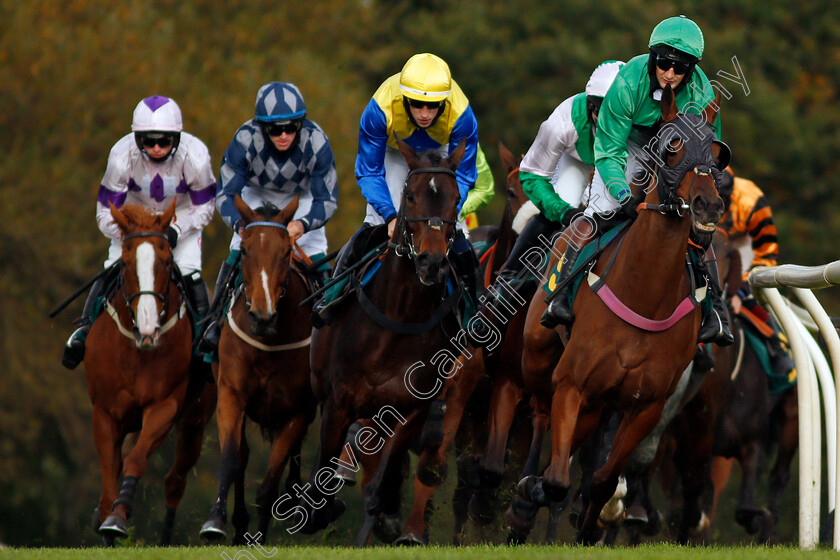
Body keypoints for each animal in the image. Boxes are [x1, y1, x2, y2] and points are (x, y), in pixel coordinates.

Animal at [85, 202, 215, 548]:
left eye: (167, 261)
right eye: (126, 263)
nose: (148, 328)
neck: (137, 350)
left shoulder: (164, 407)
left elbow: (136, 460)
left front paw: (117, 518)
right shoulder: (104, 412)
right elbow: (109, 471)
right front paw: (106, 518)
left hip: (195, 421)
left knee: (174, 481)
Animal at [198, 195, 318, 544]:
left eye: (286, 251)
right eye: (245, 251)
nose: (262, 317)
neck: (269, 341)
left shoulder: (297, 411)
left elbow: (269, 485)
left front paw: (260, 537)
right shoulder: (231, 394)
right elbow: (231, 460)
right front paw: (216, 521)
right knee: (243, 454)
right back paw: (238, 524)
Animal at [302, 139, 470, 544]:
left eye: (457, 198)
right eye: (409, 196)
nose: (431, 262)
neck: (398, 319)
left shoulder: (410, 409)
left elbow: (382, 485)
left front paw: (385, 519)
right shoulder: (339, 401)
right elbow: (325, 467)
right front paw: (319, 511)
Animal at [520, 86, 728, 544]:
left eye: (717, 152)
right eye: (672, 146)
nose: (708, 205)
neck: (644, 293)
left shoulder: (646, 405)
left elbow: (600, 481)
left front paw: (589, 529)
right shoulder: (573, 383)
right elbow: (557, 480)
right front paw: (537, 492)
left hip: (600, 402)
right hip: (539, 355)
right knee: (540, 414)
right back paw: (523, 494)